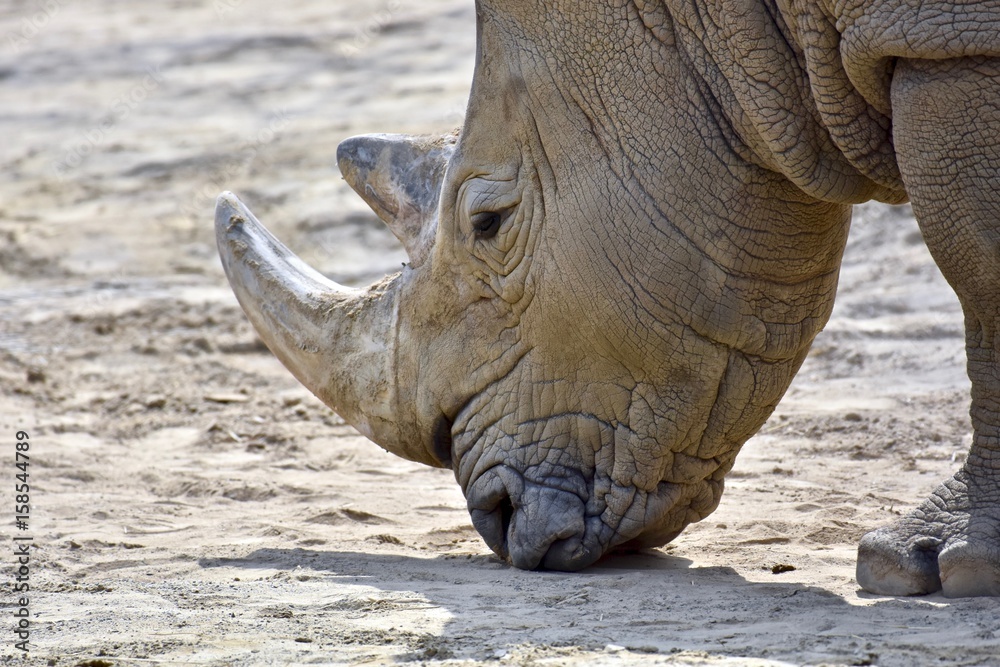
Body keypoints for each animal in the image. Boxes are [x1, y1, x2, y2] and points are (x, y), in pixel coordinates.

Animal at [214, 0, 1000, 597]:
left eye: (487, 223)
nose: (497, 517)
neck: (734, 18)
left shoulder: (949, 44)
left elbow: (980, 281)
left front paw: (932, 565)